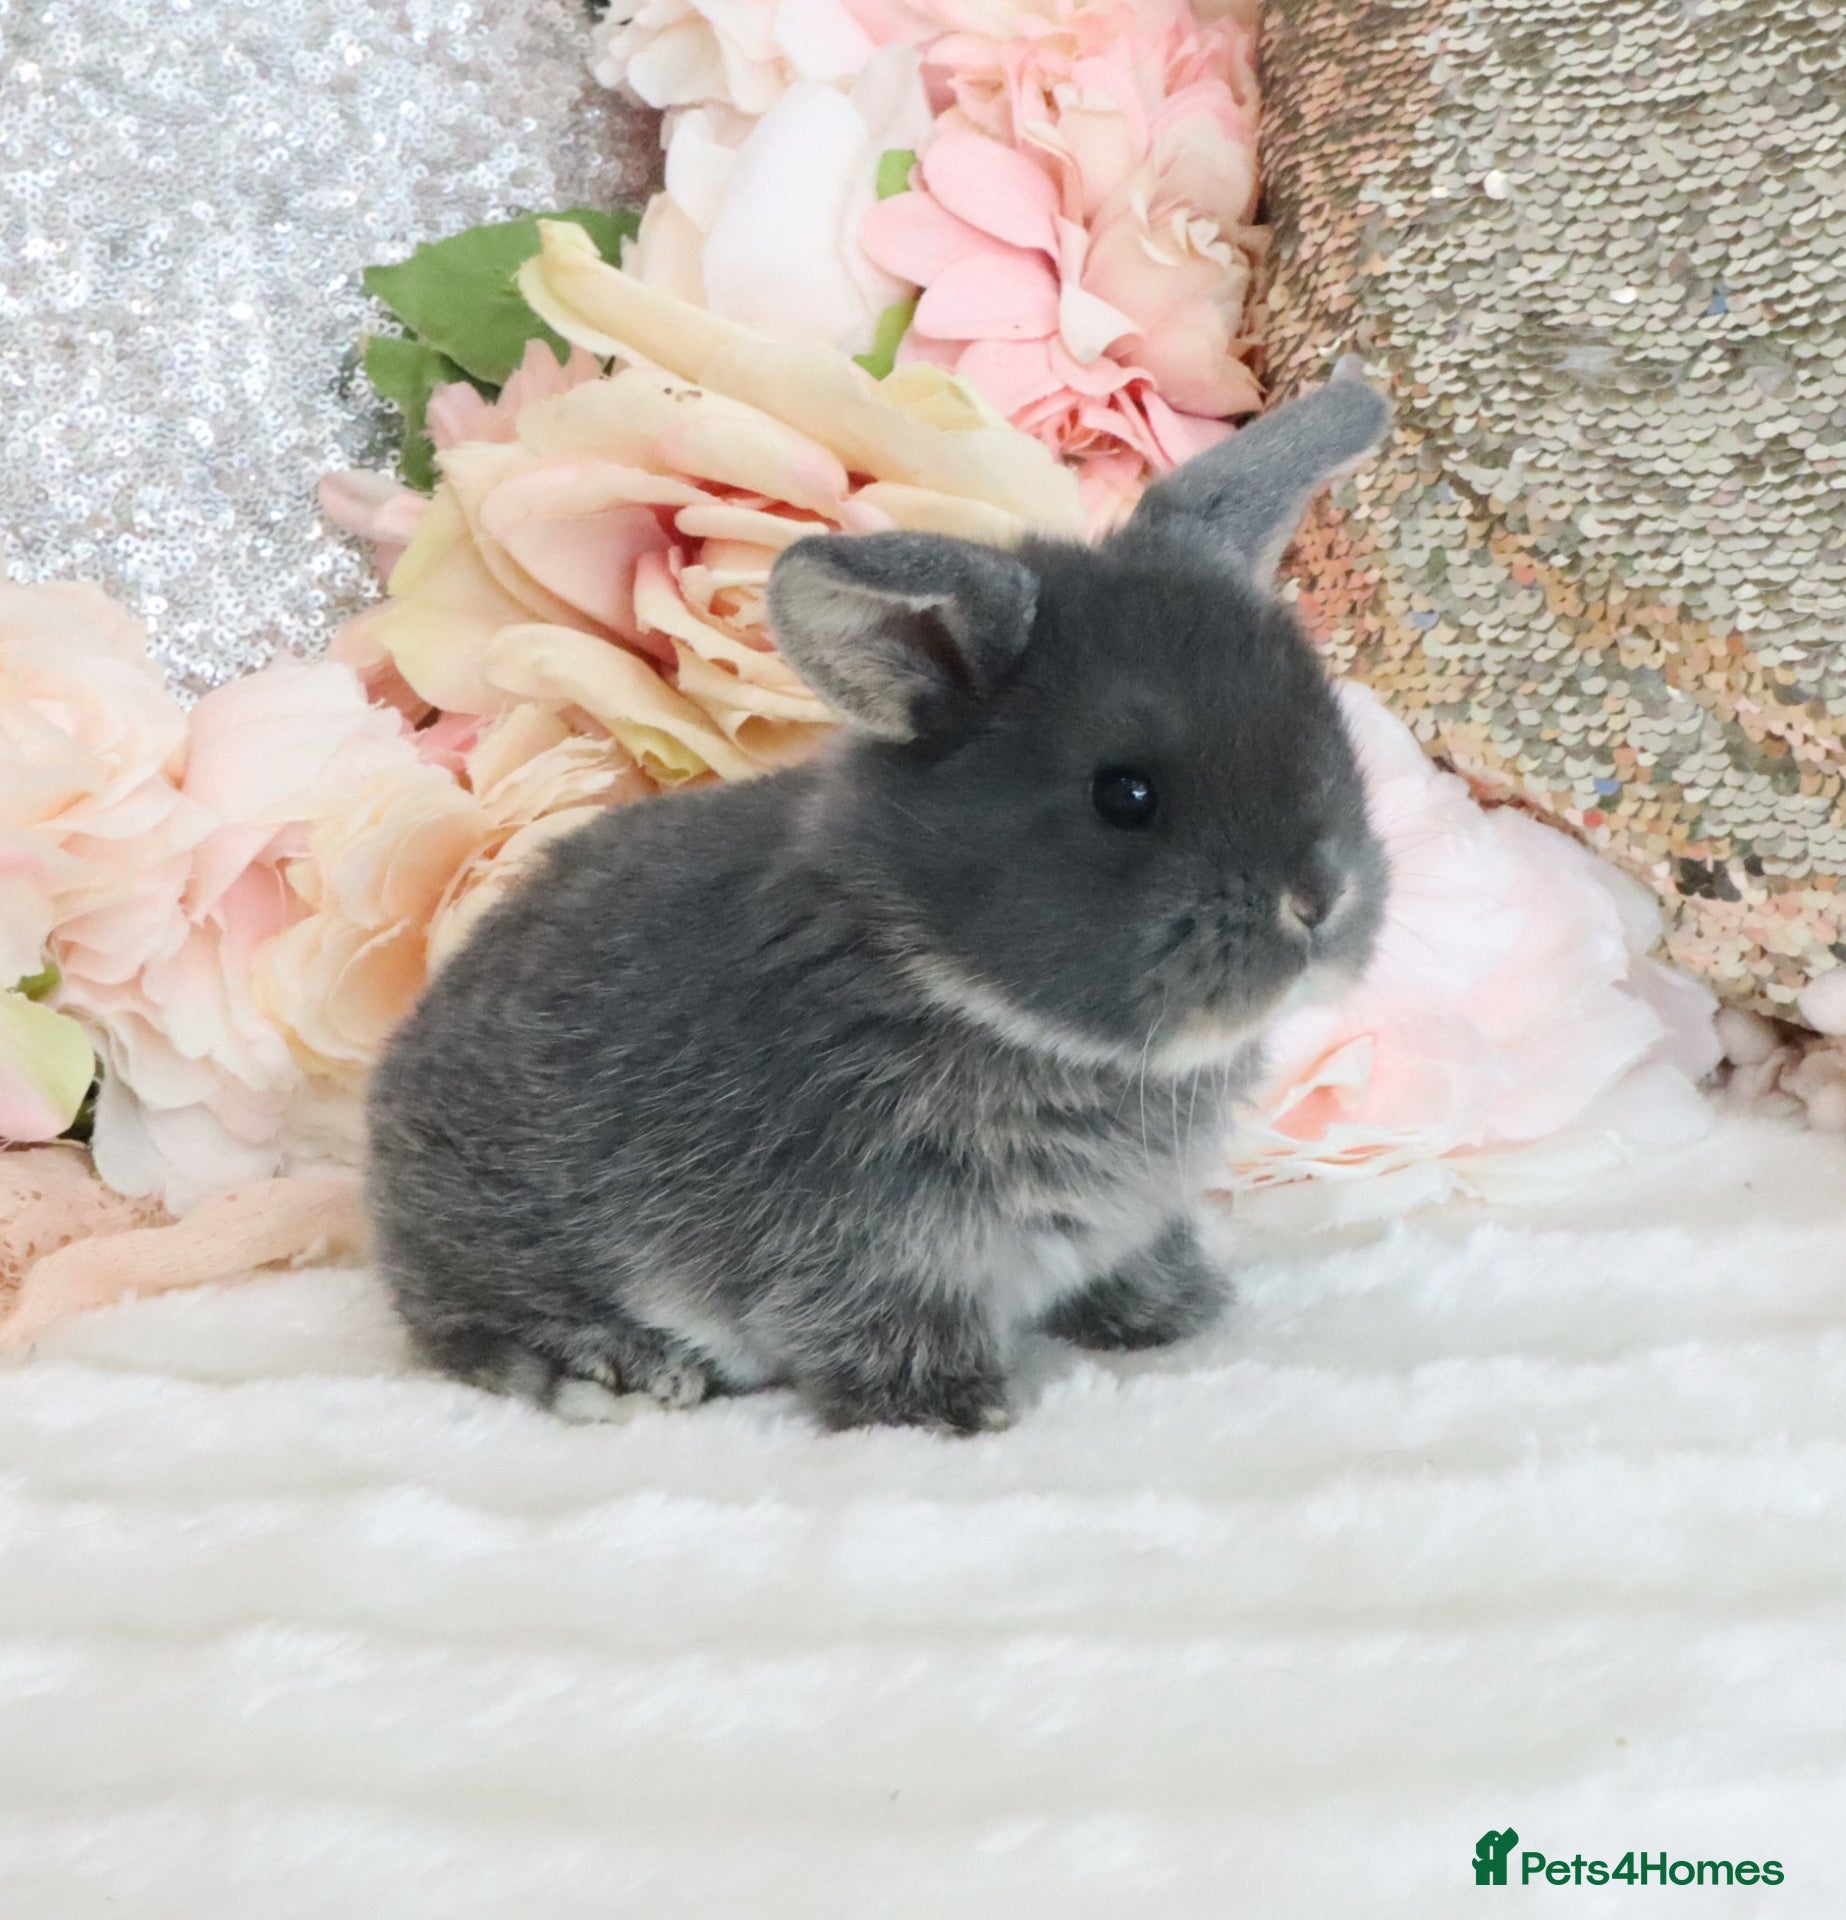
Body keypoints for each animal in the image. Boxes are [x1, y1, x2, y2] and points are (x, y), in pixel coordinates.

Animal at [366, 373, 1392, 1433]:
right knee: (466, 1326)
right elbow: (879, 1325)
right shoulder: (864, 1240)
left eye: (1327, 729)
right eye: (1125, 795)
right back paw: (620, 1369)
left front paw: (1179, 1314)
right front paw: (951, 1411)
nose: (1318, 900)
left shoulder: (1130, 1224)